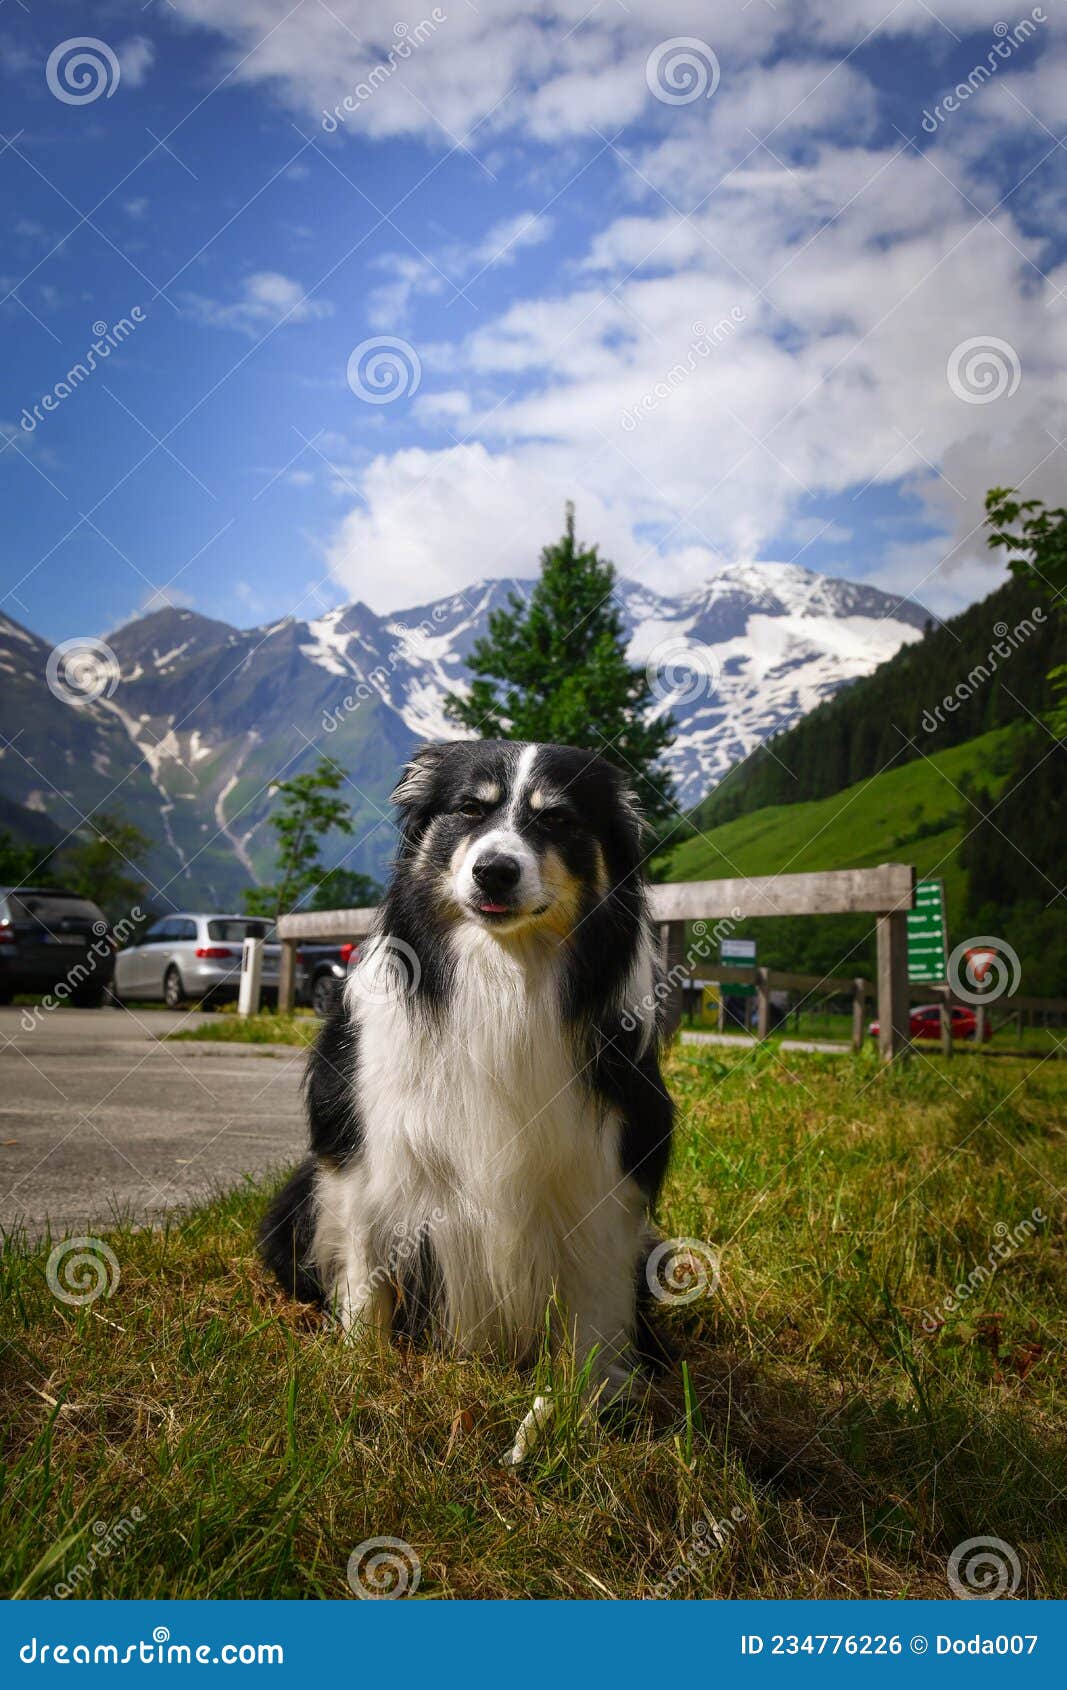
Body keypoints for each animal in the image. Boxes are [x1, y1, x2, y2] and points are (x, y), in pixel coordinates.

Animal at [262, 746, 673, 1460]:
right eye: (469, 810)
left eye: (556, 817)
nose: (495, 869)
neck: (499, 971)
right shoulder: (365, 1158)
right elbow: (367, 1271)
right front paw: (359, 1371)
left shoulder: (607, 1170)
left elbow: (595, 1310)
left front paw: (579, 1411)